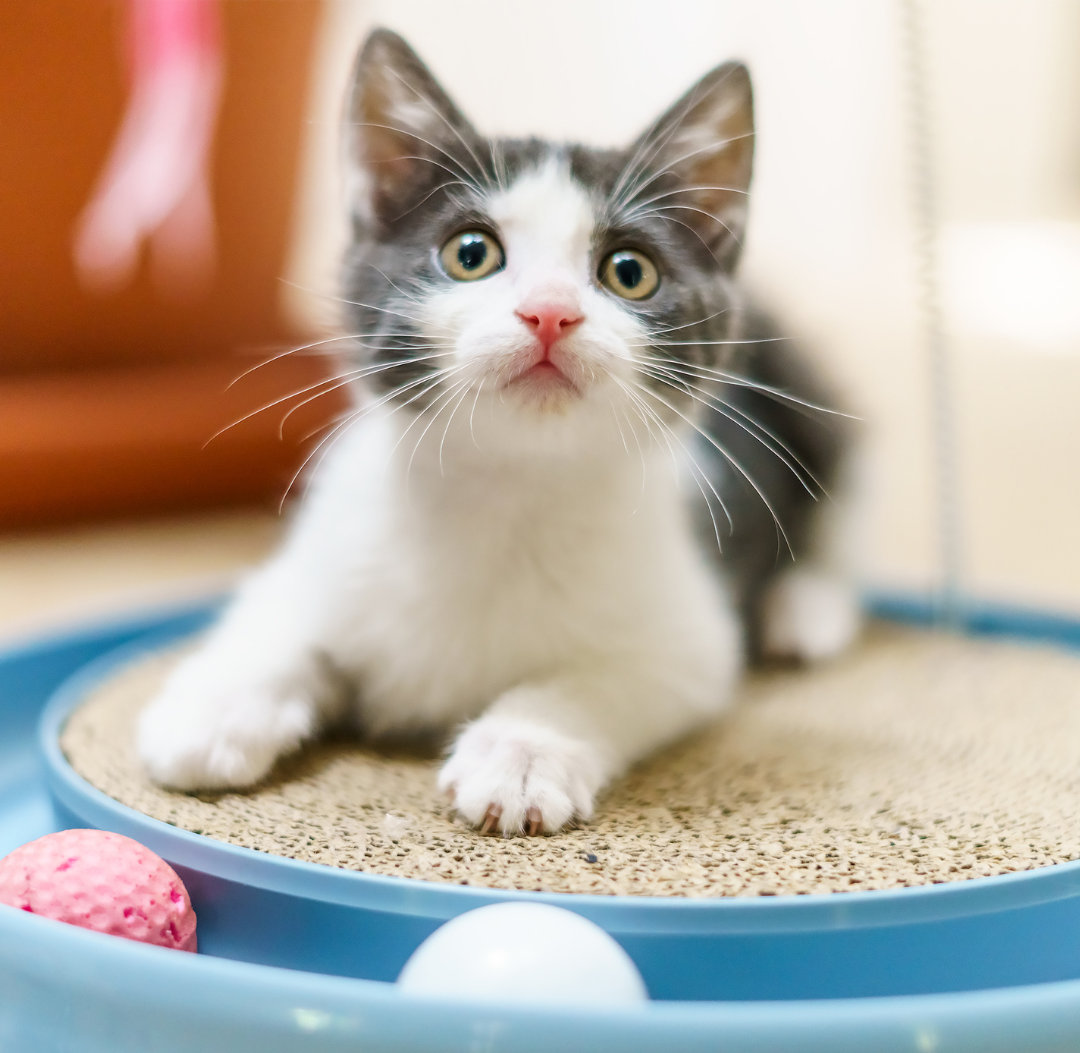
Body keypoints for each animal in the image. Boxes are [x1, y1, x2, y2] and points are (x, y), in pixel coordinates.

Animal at [137, 28, 859, 833]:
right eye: (470, 253)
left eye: (629, 271)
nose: (550, 312)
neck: (506, 489)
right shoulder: (325, 555)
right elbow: (277, 618)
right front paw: (211, 710)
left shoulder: (692, 637)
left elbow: (602, 678)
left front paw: (522, 754)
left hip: (809, 396)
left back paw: (805, 612)